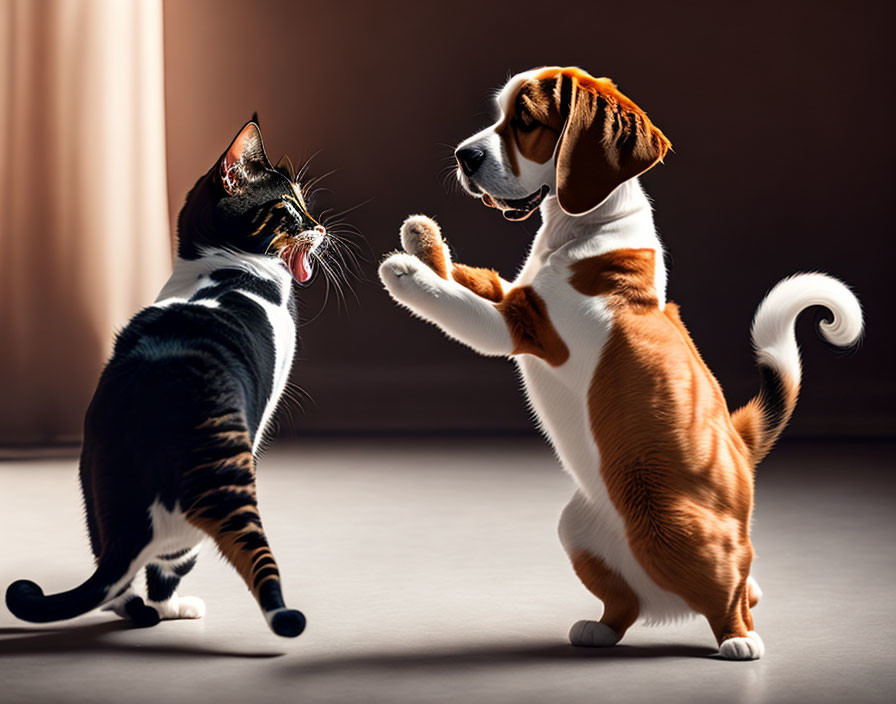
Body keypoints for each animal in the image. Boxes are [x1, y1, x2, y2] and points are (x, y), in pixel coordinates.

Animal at [5, 117, 328, 640]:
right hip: (222, 486)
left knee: (115, 582)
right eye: (288, 206)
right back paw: (214, 611)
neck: (224, 268)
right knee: (190, 568)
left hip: (93, 483)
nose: (320, 228)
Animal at [376, 67, 860, 660]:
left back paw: (739, 638)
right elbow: (471, 275)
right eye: (498, 115)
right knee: (631, 602)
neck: (584, 230)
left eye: (525, 121)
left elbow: (452, 298)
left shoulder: (521, 325)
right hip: (578, 526)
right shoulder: (513, 293)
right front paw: (421, 237)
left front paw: (407, 272)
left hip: (675, 530)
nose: (463, 156)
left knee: (731, 587)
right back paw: (602, 628)